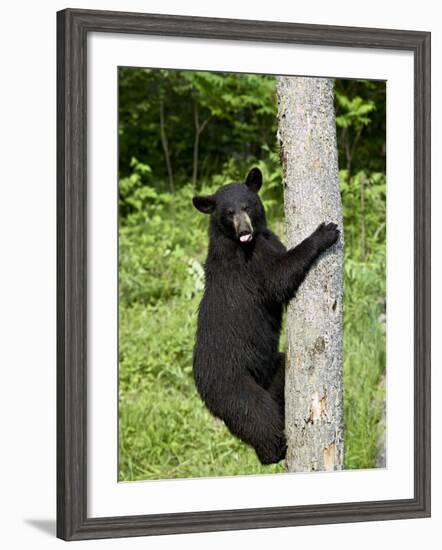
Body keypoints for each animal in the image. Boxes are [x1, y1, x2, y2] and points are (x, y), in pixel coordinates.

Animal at [192, 168, 340, 466]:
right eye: (229, 212)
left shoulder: (266, 240)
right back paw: (275, 450)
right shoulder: (248, 262)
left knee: (279, 374)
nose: (245, 231)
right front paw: (325, 232)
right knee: (256, 414)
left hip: (269, 370)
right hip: (232, 385)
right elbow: (279, 276)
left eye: (247, 206)